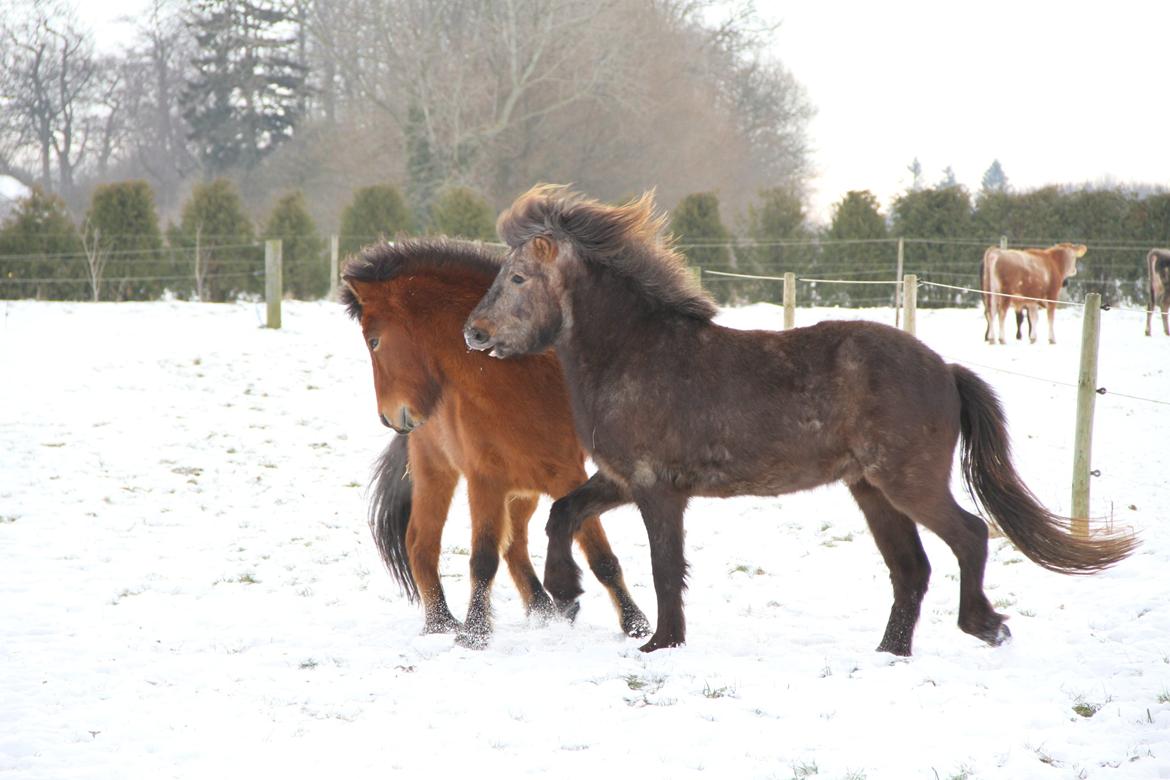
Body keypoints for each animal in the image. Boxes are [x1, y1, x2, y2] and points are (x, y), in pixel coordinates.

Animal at [341, 236, 650, 645]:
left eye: (374, 341)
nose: (391, 417)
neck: (518, 379)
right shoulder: (484, 478)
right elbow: (483, 558)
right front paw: (474, 632)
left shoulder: (566, 474)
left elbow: (600, 555)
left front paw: (635, 623)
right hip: (437, 472)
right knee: (422, 544)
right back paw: (441, 623)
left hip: (523, 484)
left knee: (514, 544)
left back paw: (543, 607)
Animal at [463, 185, 1132, 654]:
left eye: (518, 277)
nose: (474, 333)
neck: (636, 353)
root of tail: (944, 369)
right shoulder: (621, 479)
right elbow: (563, 512)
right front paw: (565, 593)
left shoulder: (658, 490)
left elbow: (664, 566)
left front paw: (661, 642)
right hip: (871, 491)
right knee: (910, 569)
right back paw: (889, 653)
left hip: (907, 483)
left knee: (968, 535)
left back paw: (986, 626)